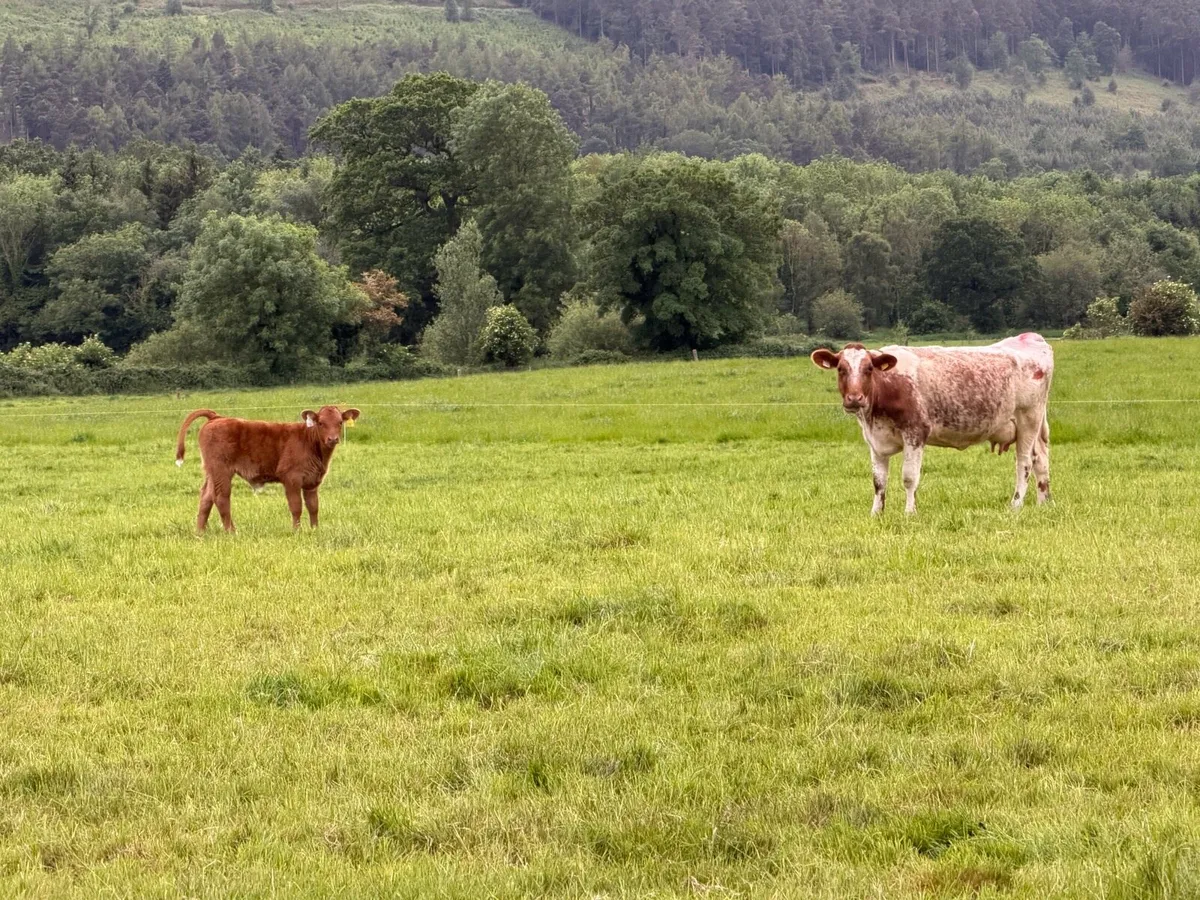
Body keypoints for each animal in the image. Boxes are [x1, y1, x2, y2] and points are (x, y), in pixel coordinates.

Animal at [175, 405, 361, 533]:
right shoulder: (291, 478)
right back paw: (231, 531)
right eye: (321, 423)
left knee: (206, 496)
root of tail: (217, 417)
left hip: (211, 472)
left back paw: (200, 532)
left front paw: (315, 529)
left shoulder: (312, 481)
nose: (333, 439)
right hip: (221, 469)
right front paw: (297, 531)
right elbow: (296, 506)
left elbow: (313, 506)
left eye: (339, 422)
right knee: (221, 497)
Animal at [811, 333, 1053, 515]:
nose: (854, 398)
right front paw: (876, 513)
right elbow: (879, 481)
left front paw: (910, 512)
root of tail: (1029, 337)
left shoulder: (915, 433)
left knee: (1024, 463)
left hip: (1028, 420)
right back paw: (1044, 502)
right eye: (841, 369)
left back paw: (1016, 504)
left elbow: (909, 478)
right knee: (1040, 459)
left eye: (869, 369)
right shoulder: (876, 441)